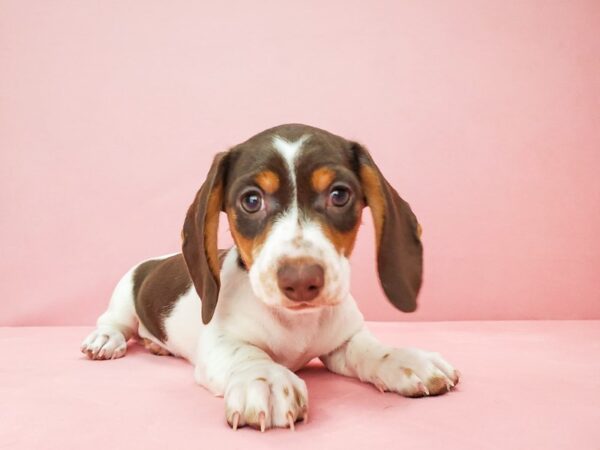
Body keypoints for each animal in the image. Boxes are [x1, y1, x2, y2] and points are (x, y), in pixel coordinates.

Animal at [81, 124, 460, 432]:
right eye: (251, 200)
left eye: (339, 195)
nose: (301, 281)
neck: (296, 323)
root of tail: (153, 261)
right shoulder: (220, 345)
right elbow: (248, 355)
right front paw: (266, 379)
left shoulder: (343, 341)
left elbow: (368, 349)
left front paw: (403, 358)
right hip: (123, 298)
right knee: (114, 322)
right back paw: (105, 340)